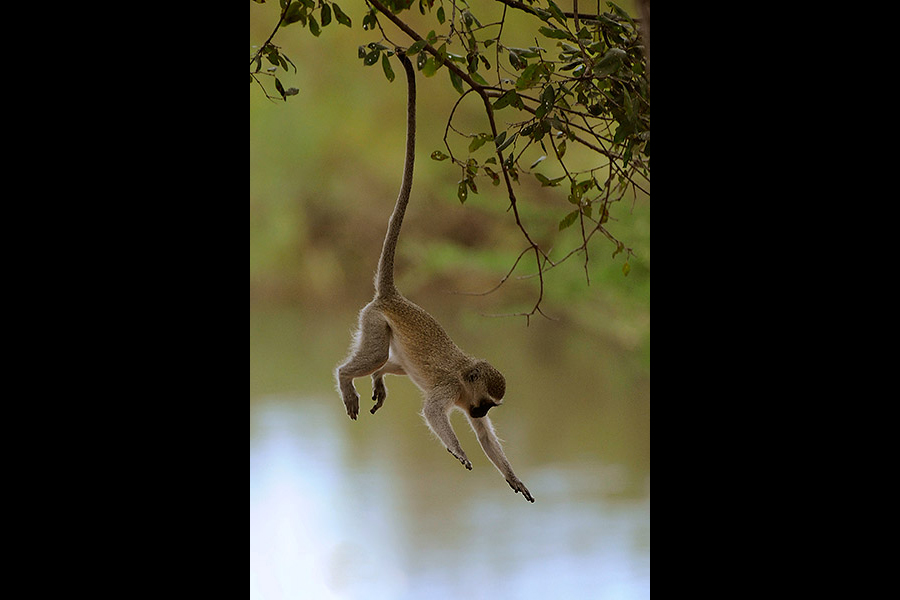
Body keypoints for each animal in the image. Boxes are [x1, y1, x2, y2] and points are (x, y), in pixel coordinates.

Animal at [338, 49, 536, 504]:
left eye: (490, 406)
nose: (479, 410)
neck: (464, 383)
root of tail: (393, 297)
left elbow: (486, 437)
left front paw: (512, 476)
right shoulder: (447, 391)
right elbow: (433, 411)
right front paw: (459, 450)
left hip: (389, 341)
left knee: (388, 364)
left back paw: (377, 380)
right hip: (374, 321)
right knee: (372, 356)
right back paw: (346, 380)